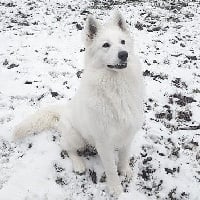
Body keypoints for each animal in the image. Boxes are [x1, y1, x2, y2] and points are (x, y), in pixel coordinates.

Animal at [14, 11, 145, 196]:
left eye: (123, 42)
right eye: (106, 45)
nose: (124, 54)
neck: (117, 86)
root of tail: (63, 111)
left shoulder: (128, 133)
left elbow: (124, 157)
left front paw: (125, 170)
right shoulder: (104, 142)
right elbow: (111, 168)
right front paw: (115, 187)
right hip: (76, 137)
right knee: (66, 147)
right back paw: (78, 164)